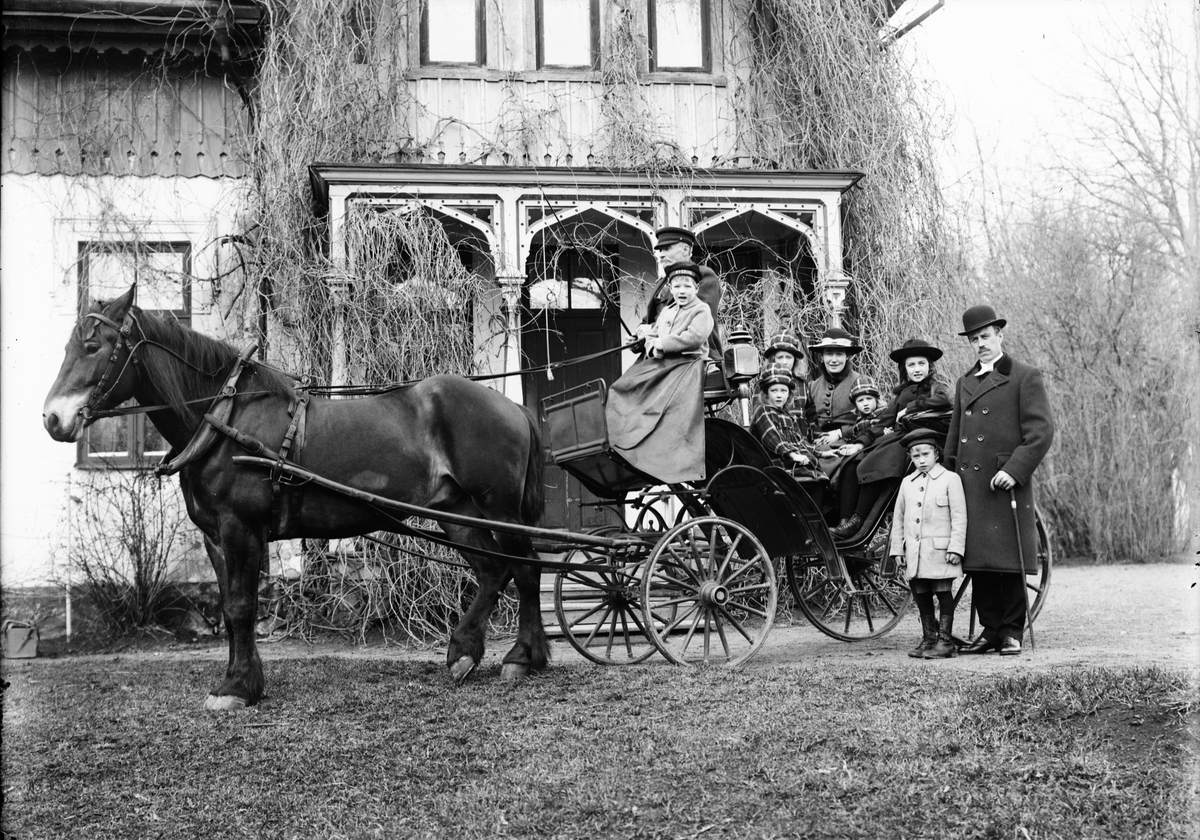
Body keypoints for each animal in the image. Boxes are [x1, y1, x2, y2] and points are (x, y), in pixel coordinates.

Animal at [42, 286, 550, 709]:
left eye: (94, 346)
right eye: (68, 346)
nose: (52, 418)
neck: (225, 418)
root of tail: (511, 405)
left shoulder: (241, 530)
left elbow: (242, 607)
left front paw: (236, 687)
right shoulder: (215, 537)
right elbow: (230, 608)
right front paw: (242, 679)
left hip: (500, 509)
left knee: (525, 569)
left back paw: (521, 657)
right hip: (456, 510)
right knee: (493, 571)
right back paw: (465, 652)